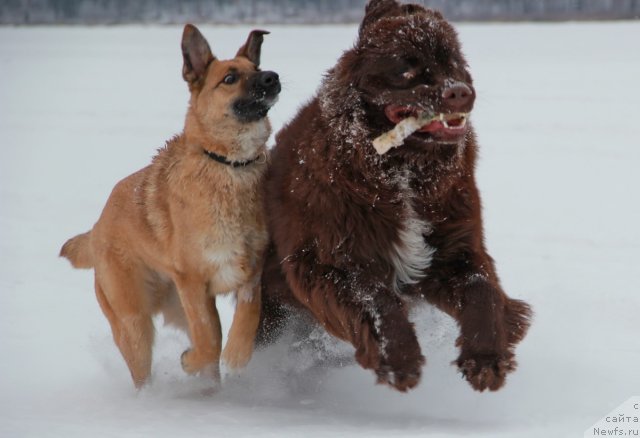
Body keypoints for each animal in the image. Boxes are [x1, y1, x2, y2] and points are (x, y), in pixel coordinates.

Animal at [60, 24, 280, 386]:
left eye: (256, 68)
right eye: (230, 78)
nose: (272, 77)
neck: (228, 165)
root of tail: (96, 228)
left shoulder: (251, 270)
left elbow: (247, 316)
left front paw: (237, 354)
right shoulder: (192, 283)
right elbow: (209, 337)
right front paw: (192, 361)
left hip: (174, 305)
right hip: (133, 323)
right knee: (143, 368)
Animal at [258, 0, 532, 394]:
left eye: (453, 62)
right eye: (406, 69)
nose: (459, 92)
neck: (404, 173)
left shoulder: (456, 243)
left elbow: (482, 290)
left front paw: (486, 359)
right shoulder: (325, 258)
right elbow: (376, 298)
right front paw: (399, 360)